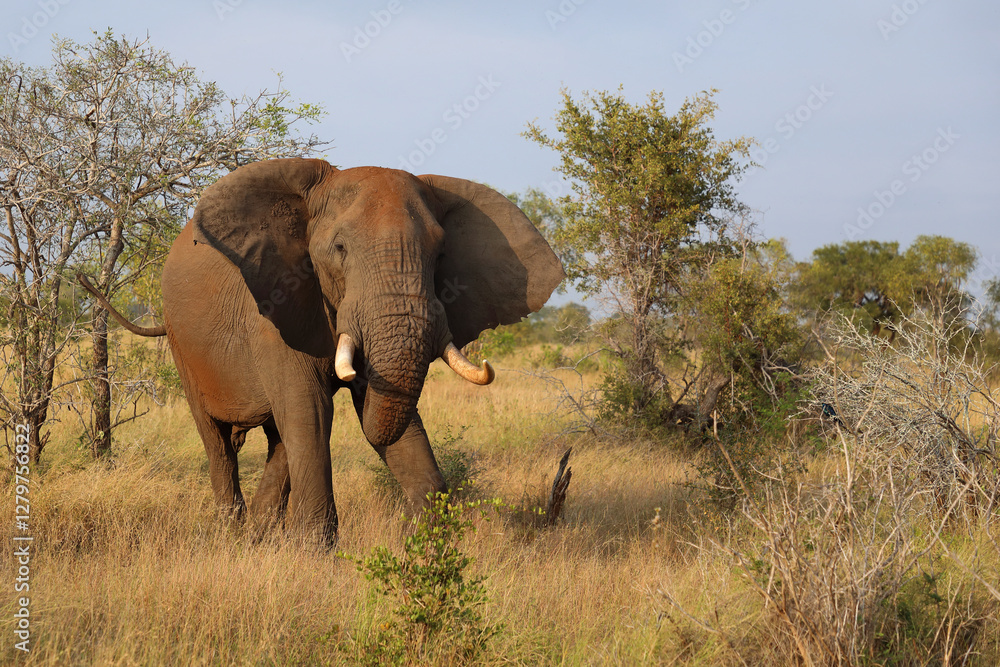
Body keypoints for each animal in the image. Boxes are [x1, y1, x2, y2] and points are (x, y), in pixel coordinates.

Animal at [78, 158, 563, 546]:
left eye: (441, 253)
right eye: (340, 249)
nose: (410, 530)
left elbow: (366, 414)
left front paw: (434, 548)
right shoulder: (275, 306)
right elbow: (311, 409)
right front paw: (314, 552)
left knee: (280, 438)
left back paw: (258, 535)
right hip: (183, 344)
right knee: (218, 440)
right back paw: (234, 534)